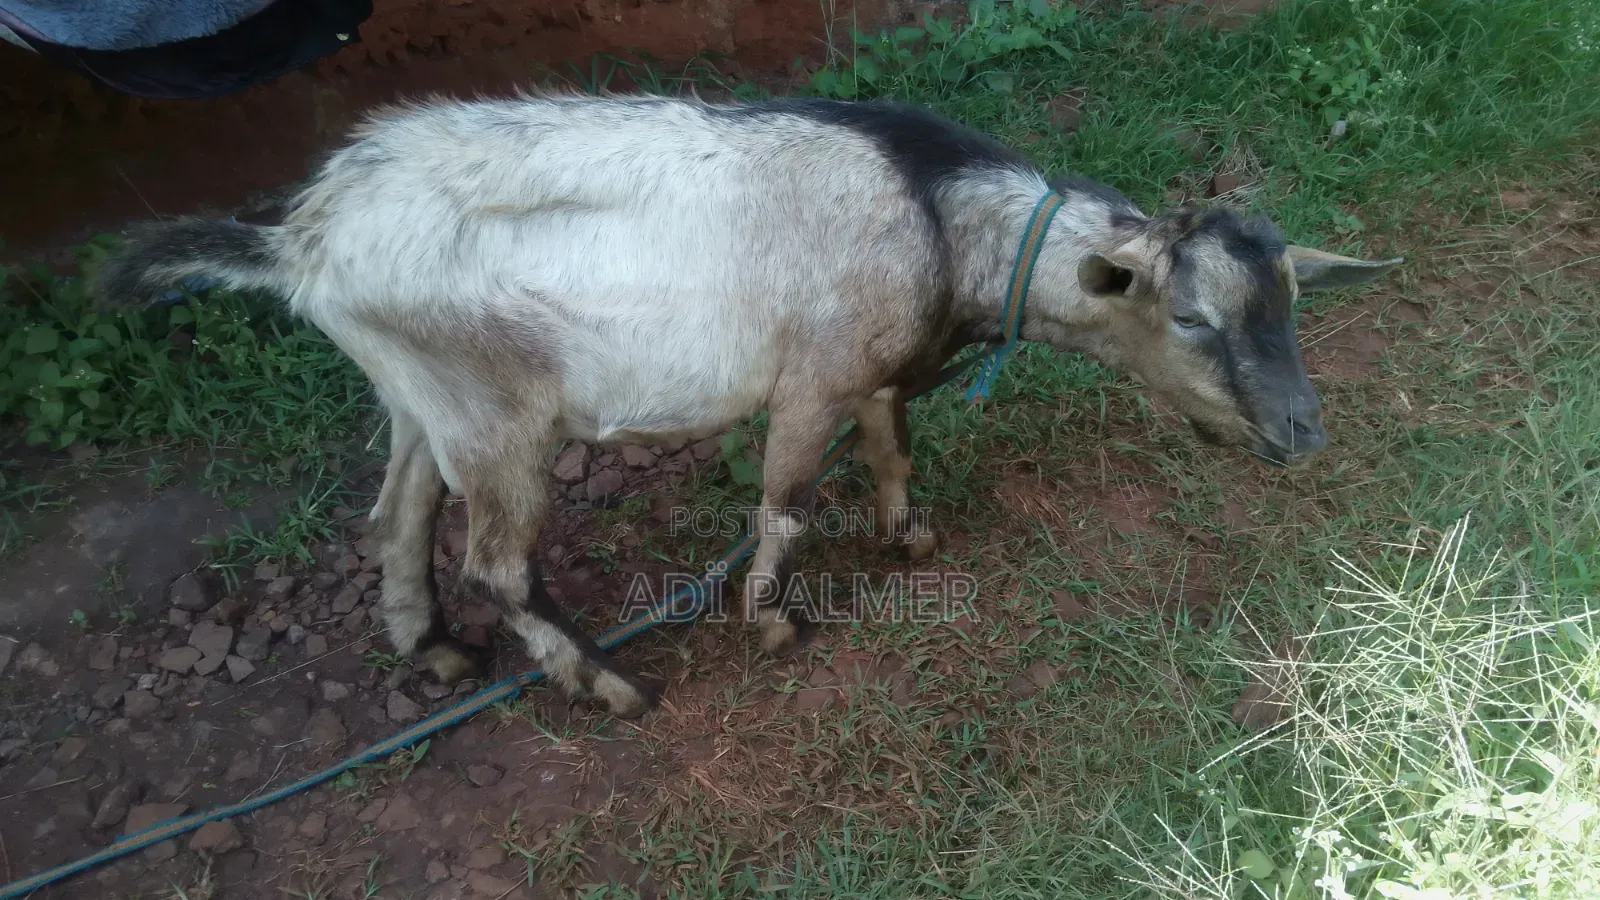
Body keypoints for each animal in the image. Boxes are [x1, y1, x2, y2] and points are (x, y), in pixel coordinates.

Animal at [96, 93, 1402, 718]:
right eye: (1192, 320)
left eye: (1291, 303)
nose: (1300, 433)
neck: (939, 219)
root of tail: (302, 240)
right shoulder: (809, 379)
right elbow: (784, 500)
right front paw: (772, 621)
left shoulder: (869, 370)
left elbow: (892, 446)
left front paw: (909, 533)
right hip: (498, 415)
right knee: (499, 564)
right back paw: (609, 685)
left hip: (423, 396)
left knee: (396, 516)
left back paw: (429, 647)